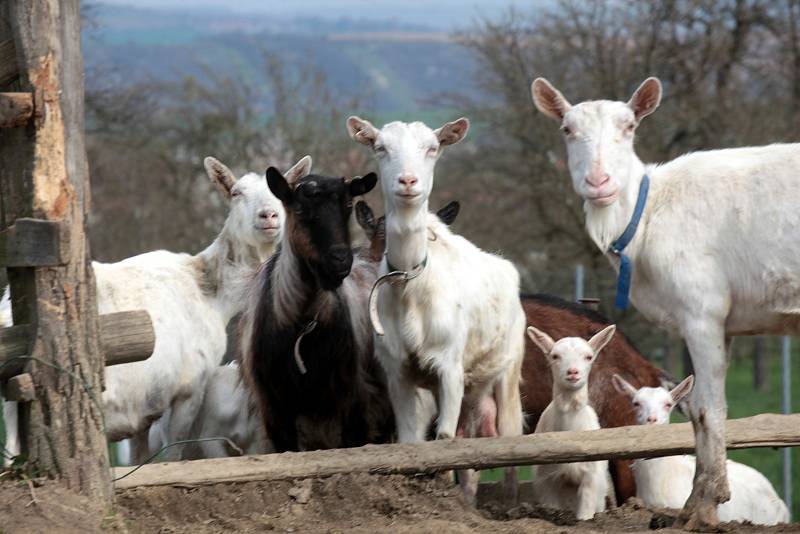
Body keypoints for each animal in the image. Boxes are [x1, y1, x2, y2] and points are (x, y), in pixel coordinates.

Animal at [348, 116, 524, 502]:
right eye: (380, 147)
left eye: (432, 148)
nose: (408, 181)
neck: (411, 281)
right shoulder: (397, 371)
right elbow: (413, 441)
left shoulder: (449, 366)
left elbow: (443, 440)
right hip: (471, 385)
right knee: (469, 441)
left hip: (508, 370)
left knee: (508, 437)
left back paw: (508, 502)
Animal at [528, 324, 616, 520]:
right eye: (555, 356)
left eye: (589, 356)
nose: (573, 372)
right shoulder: (546, 479)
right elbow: (550, 506)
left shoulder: (591, 477)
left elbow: (586, 511)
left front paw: (584, 519)